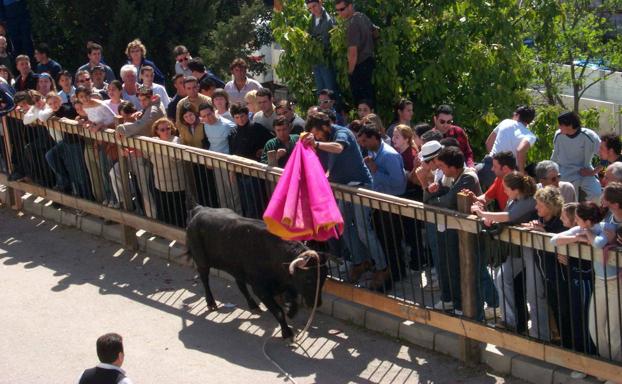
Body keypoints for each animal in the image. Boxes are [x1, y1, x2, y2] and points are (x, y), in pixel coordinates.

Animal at [186, 207, 330, 340]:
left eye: (323, 278)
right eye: (309, 278)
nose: (317, 304)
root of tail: (199, 210)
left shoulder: (285, 284)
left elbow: (292, 301)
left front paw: (290, 312)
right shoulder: (260, 289)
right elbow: (278, 311)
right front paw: (287, 333)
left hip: (236, 267)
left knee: (240, 284)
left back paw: (253, 306)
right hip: (201, 260)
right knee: (204, 279)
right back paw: (211, 303)